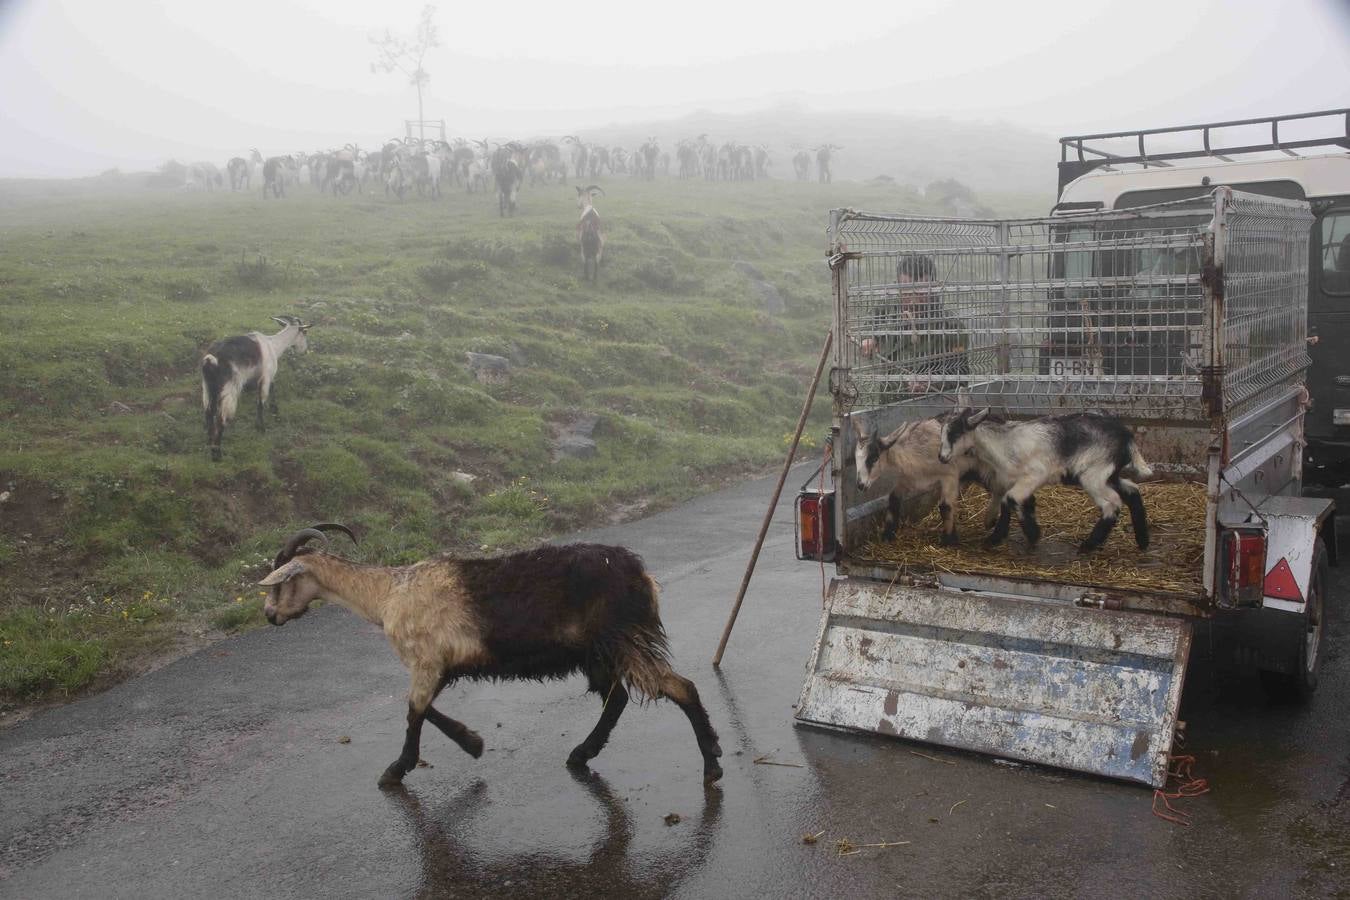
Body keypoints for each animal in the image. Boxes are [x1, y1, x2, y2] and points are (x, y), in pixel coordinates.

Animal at [199, 317, 310, 461]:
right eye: (305, 332)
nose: (305, 351)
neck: (273, 345)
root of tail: (212, 360)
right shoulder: (265, 377)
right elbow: (260, 402)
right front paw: (261, 428)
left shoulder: (266, 377)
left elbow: (272, 388)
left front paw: (274, 410)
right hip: (230, 388)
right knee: (221, 418)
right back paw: (216, 454)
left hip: (208, 387)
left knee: (208, 412)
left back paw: (210, 441)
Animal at [256, 528, 723, 788]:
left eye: (278, 582)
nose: (270, 615)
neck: (388, 594)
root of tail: (641, 574)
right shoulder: (441, 665)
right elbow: (426, 709)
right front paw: (473, 742)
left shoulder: (426, 662)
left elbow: (414, 712)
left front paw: (395, 770)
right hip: (599, 651)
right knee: (619, 698)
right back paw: (581, 754)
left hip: (622, 639)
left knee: (679, 687)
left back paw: (712, 763)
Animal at [853, 412, 1004, 542]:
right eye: (855, 459)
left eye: (874, 458)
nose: (860, 485)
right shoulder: (907, 480)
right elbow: (893, 499)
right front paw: (887, 534)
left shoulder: (949, 476)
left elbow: (945, 506)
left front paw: (949, 540)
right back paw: (991, 522)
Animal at [939, 407, 1150, 550]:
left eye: (955, 433)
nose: (941, 457)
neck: (1004, 444)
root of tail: (1126, 436)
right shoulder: (1013, 480)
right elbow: (1011, 502)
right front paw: (1000, 536)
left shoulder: (1035, 475)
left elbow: (1011, 499)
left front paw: (1029, 535)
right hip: (1109, 474)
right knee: (1132, 490)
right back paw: (1142, 541)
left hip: (1094, 475)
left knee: (1112, 503)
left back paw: (1089, 545)